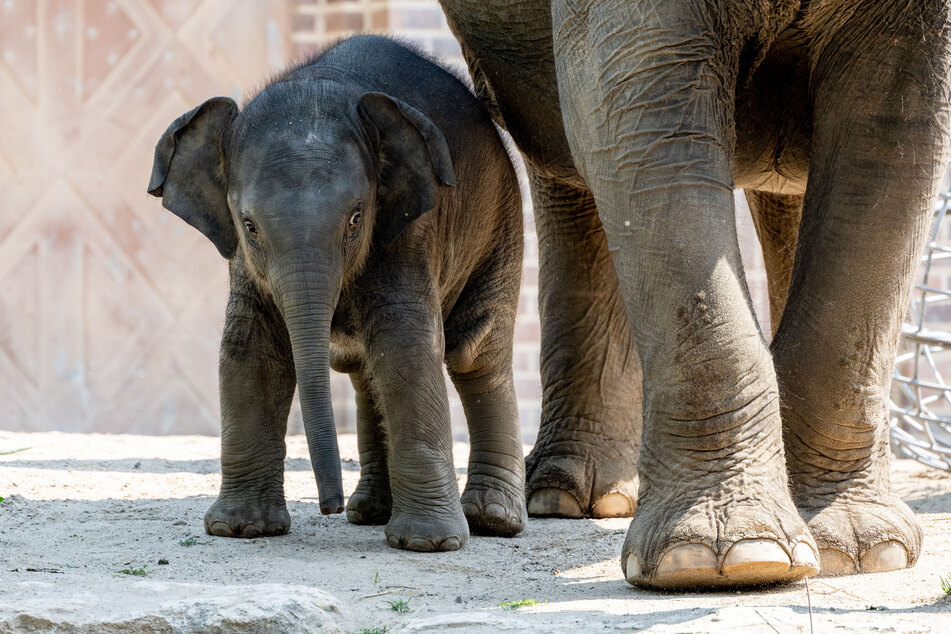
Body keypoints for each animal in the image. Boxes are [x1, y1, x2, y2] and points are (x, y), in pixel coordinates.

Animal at [145, 35, 524, 548]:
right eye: (249, 225)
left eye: (356, 218)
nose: (330, 507)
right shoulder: (245, 263)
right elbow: (251, 348)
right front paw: (240, 529)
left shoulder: (410, 229)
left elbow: (405, 345)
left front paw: (427, 543)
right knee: (364, 369)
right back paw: (370, 512)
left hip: (501, 217)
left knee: (473, 353)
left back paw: (491, 521)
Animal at [442, 0, 951, 584]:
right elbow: (640, 96)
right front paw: (726, 559)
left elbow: (889, 128)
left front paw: (861, 552)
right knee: (564, 159)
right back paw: (567, 498)